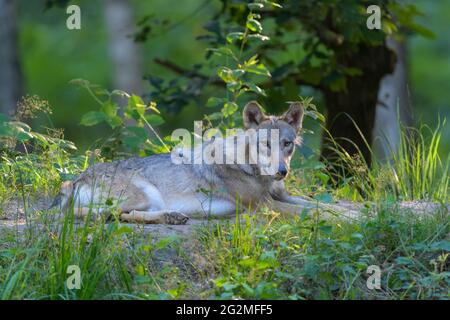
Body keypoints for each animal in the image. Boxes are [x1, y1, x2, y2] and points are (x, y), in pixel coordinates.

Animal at [53, 101, 312, 224]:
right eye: (266, 144)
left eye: (287, 144)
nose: (282, 171)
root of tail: (75, 179)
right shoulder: (264, 206)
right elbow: (311, 212)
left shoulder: (281, 197)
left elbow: (315, 205)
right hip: (143, 195)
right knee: (83, 213)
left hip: (146, 202)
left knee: (119, 215)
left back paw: (172, 217)